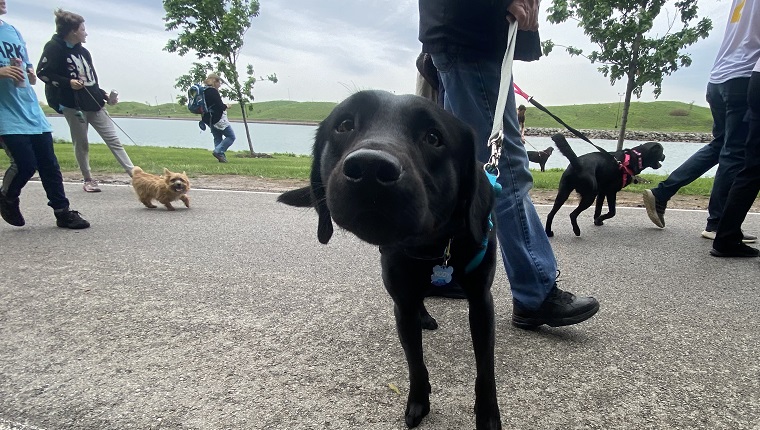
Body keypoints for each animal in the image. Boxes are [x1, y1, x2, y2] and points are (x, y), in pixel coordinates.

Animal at [276, 89, 502, 428]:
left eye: (433, 137)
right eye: (344, 125)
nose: (370, 168)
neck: (430, 246)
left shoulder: (481, 302)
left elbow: (485, 369)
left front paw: (488, 417)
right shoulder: (402, 306)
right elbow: (415, 362)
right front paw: (418, 402)